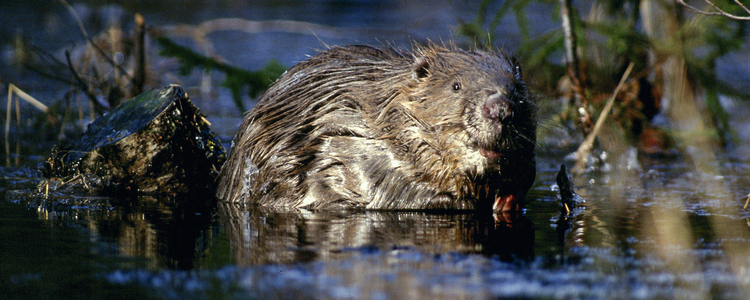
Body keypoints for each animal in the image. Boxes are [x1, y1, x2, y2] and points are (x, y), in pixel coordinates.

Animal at [214, 44, 536, 214]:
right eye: (456, 86)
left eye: (516, 88)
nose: (500, 109)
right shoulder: (353, 137)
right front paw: (462, 200)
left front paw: (508, 199)